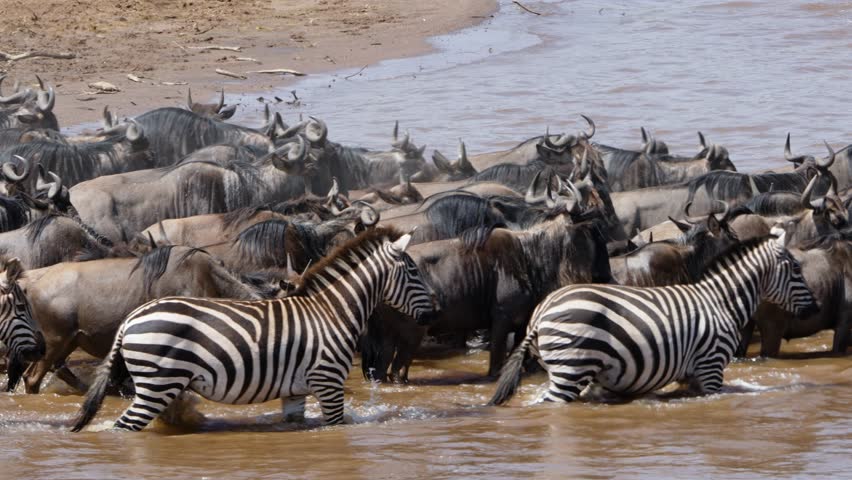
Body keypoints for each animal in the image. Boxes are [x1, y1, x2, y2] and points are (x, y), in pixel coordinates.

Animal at [71, 227, 437, 432]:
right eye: (414, 273)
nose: (433, 315)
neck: (331, 311)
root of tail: (131, 318)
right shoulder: (329, 381)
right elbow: (336, 426)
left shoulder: (296, 390)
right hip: (158, 383)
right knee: (124, 427)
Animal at [489, 227, 818, 406]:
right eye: (797, 269)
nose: (815, 309)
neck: (721, 302)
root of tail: (542, 313)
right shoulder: (711, 367)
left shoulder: (689, 376)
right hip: (570, 369)